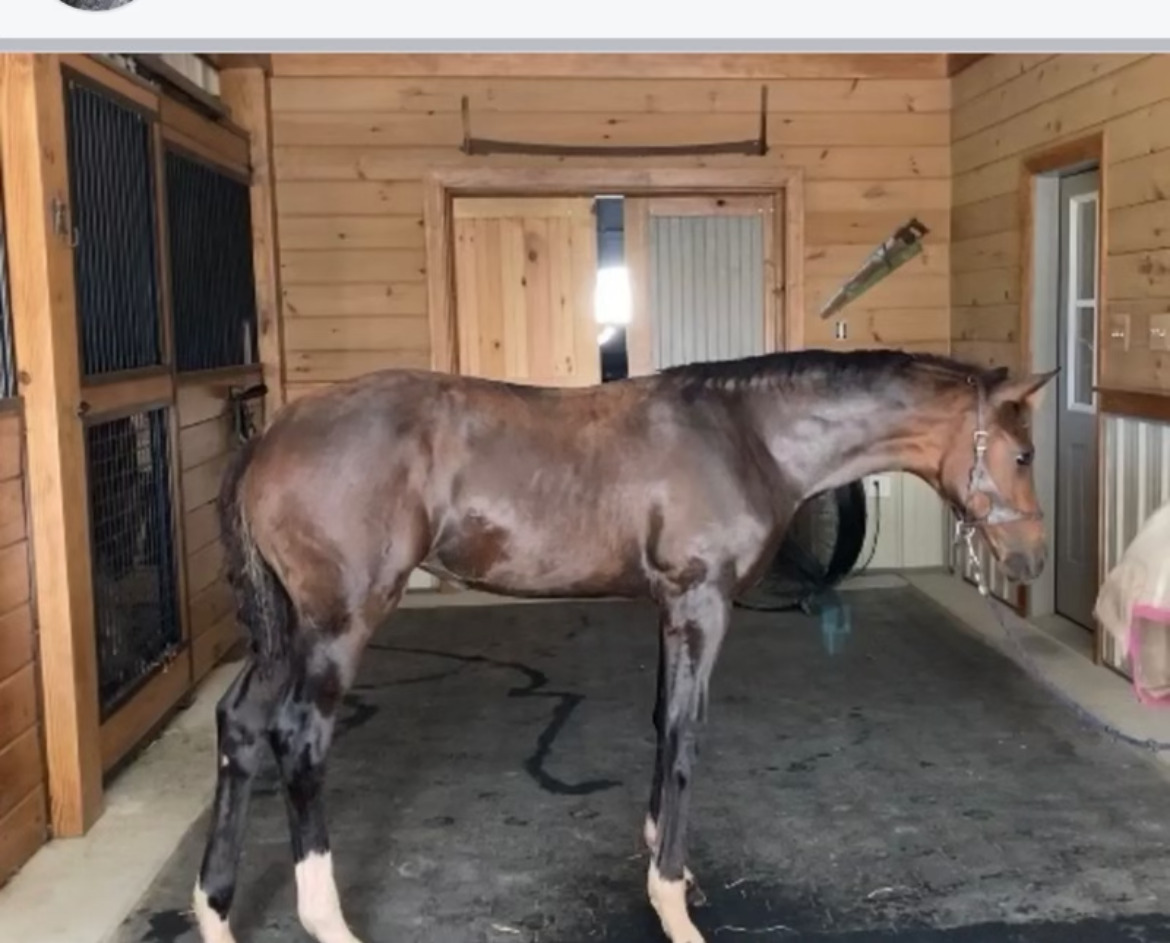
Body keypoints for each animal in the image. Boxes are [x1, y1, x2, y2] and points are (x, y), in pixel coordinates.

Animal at [191, 347, 1055, 943]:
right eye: (1021, 454)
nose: (1033, 561)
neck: (746, 436)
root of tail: (269, 437)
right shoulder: (702, 604)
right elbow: (685, 733)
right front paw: (672, 903)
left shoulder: (669, 609)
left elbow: (659, 722)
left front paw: (665, 869)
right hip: (338, 622)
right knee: (300, 737)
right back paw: (326, 920)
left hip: (285, 629)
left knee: (240, 725)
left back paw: (215, 908)